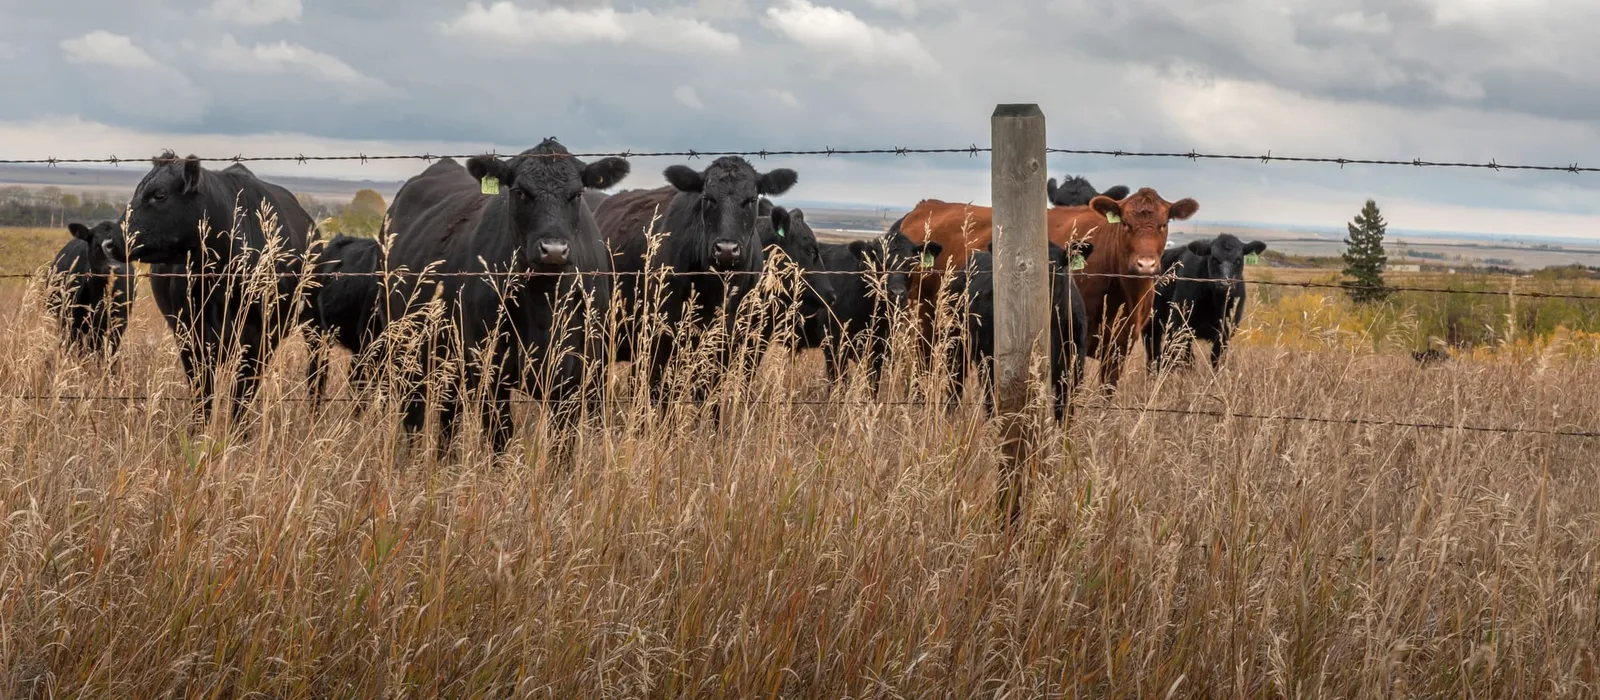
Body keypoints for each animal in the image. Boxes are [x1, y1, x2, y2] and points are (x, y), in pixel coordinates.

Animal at [104, 152, 319, 423]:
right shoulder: (190, 334)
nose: (109, 242)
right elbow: (203, 394)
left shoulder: (258, 338)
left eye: (159, 195)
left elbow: (242, 396)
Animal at [380, 139, 628, 459]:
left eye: (576, 194)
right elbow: (500, 437)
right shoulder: (490, 371)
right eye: (520, 191)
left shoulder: (577, 376)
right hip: (407, 348)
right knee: (415, 412)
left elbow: (563, 445)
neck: (543, 304)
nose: (554, 250)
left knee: (449, 413)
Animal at [595, 157, 797, 405]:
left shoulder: (729, 344)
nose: (726, 249)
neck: (717, 290)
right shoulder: (661, 339)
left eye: (751, 199)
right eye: (707, 198)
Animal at [1144, 234, 1265, 371]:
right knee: (1154, 351)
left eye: (1238, 260)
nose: (1225, 284)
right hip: (1151, 322)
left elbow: (1216, 358)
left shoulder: (1226, 332)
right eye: (1214, 259)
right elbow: (1187, 359)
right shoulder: (1180, 325)